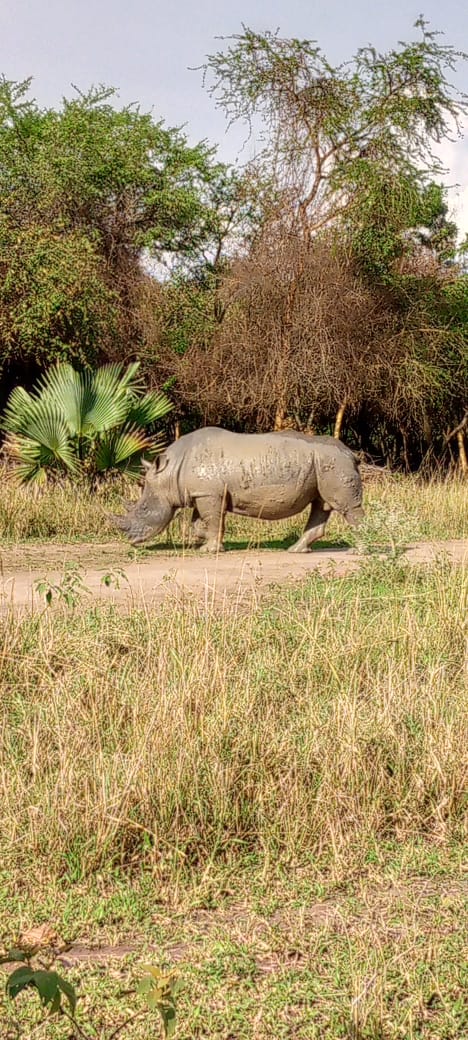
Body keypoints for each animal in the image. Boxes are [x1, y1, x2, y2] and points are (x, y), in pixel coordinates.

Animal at [115, 427, 364, 552]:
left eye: (144, 509)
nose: (130, 539)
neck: (170, 472)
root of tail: (351, 454)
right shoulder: (204, 493)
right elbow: (199, 522)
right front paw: (208, 542)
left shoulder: (208, 494)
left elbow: (211, 520)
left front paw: (210, 550)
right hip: (323, 465)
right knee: (320, 504)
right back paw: (296, 550)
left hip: (334, 463)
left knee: (347, 508)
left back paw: (358, 551)